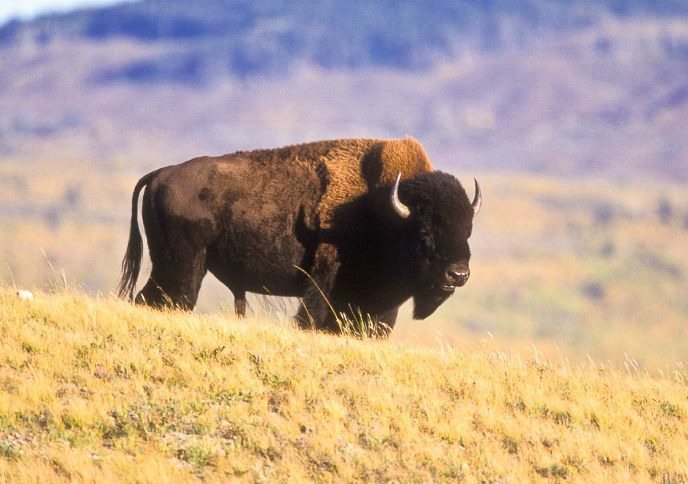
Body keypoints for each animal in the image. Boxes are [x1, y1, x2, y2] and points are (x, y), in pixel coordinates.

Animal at [117, 137, 481, 335]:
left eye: (467, 231)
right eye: (425, 232)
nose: (459, 274)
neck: (383, 210)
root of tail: (160, 174)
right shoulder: (323, 287)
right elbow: (311, 318)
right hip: (183, 269)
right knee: (165, 300)